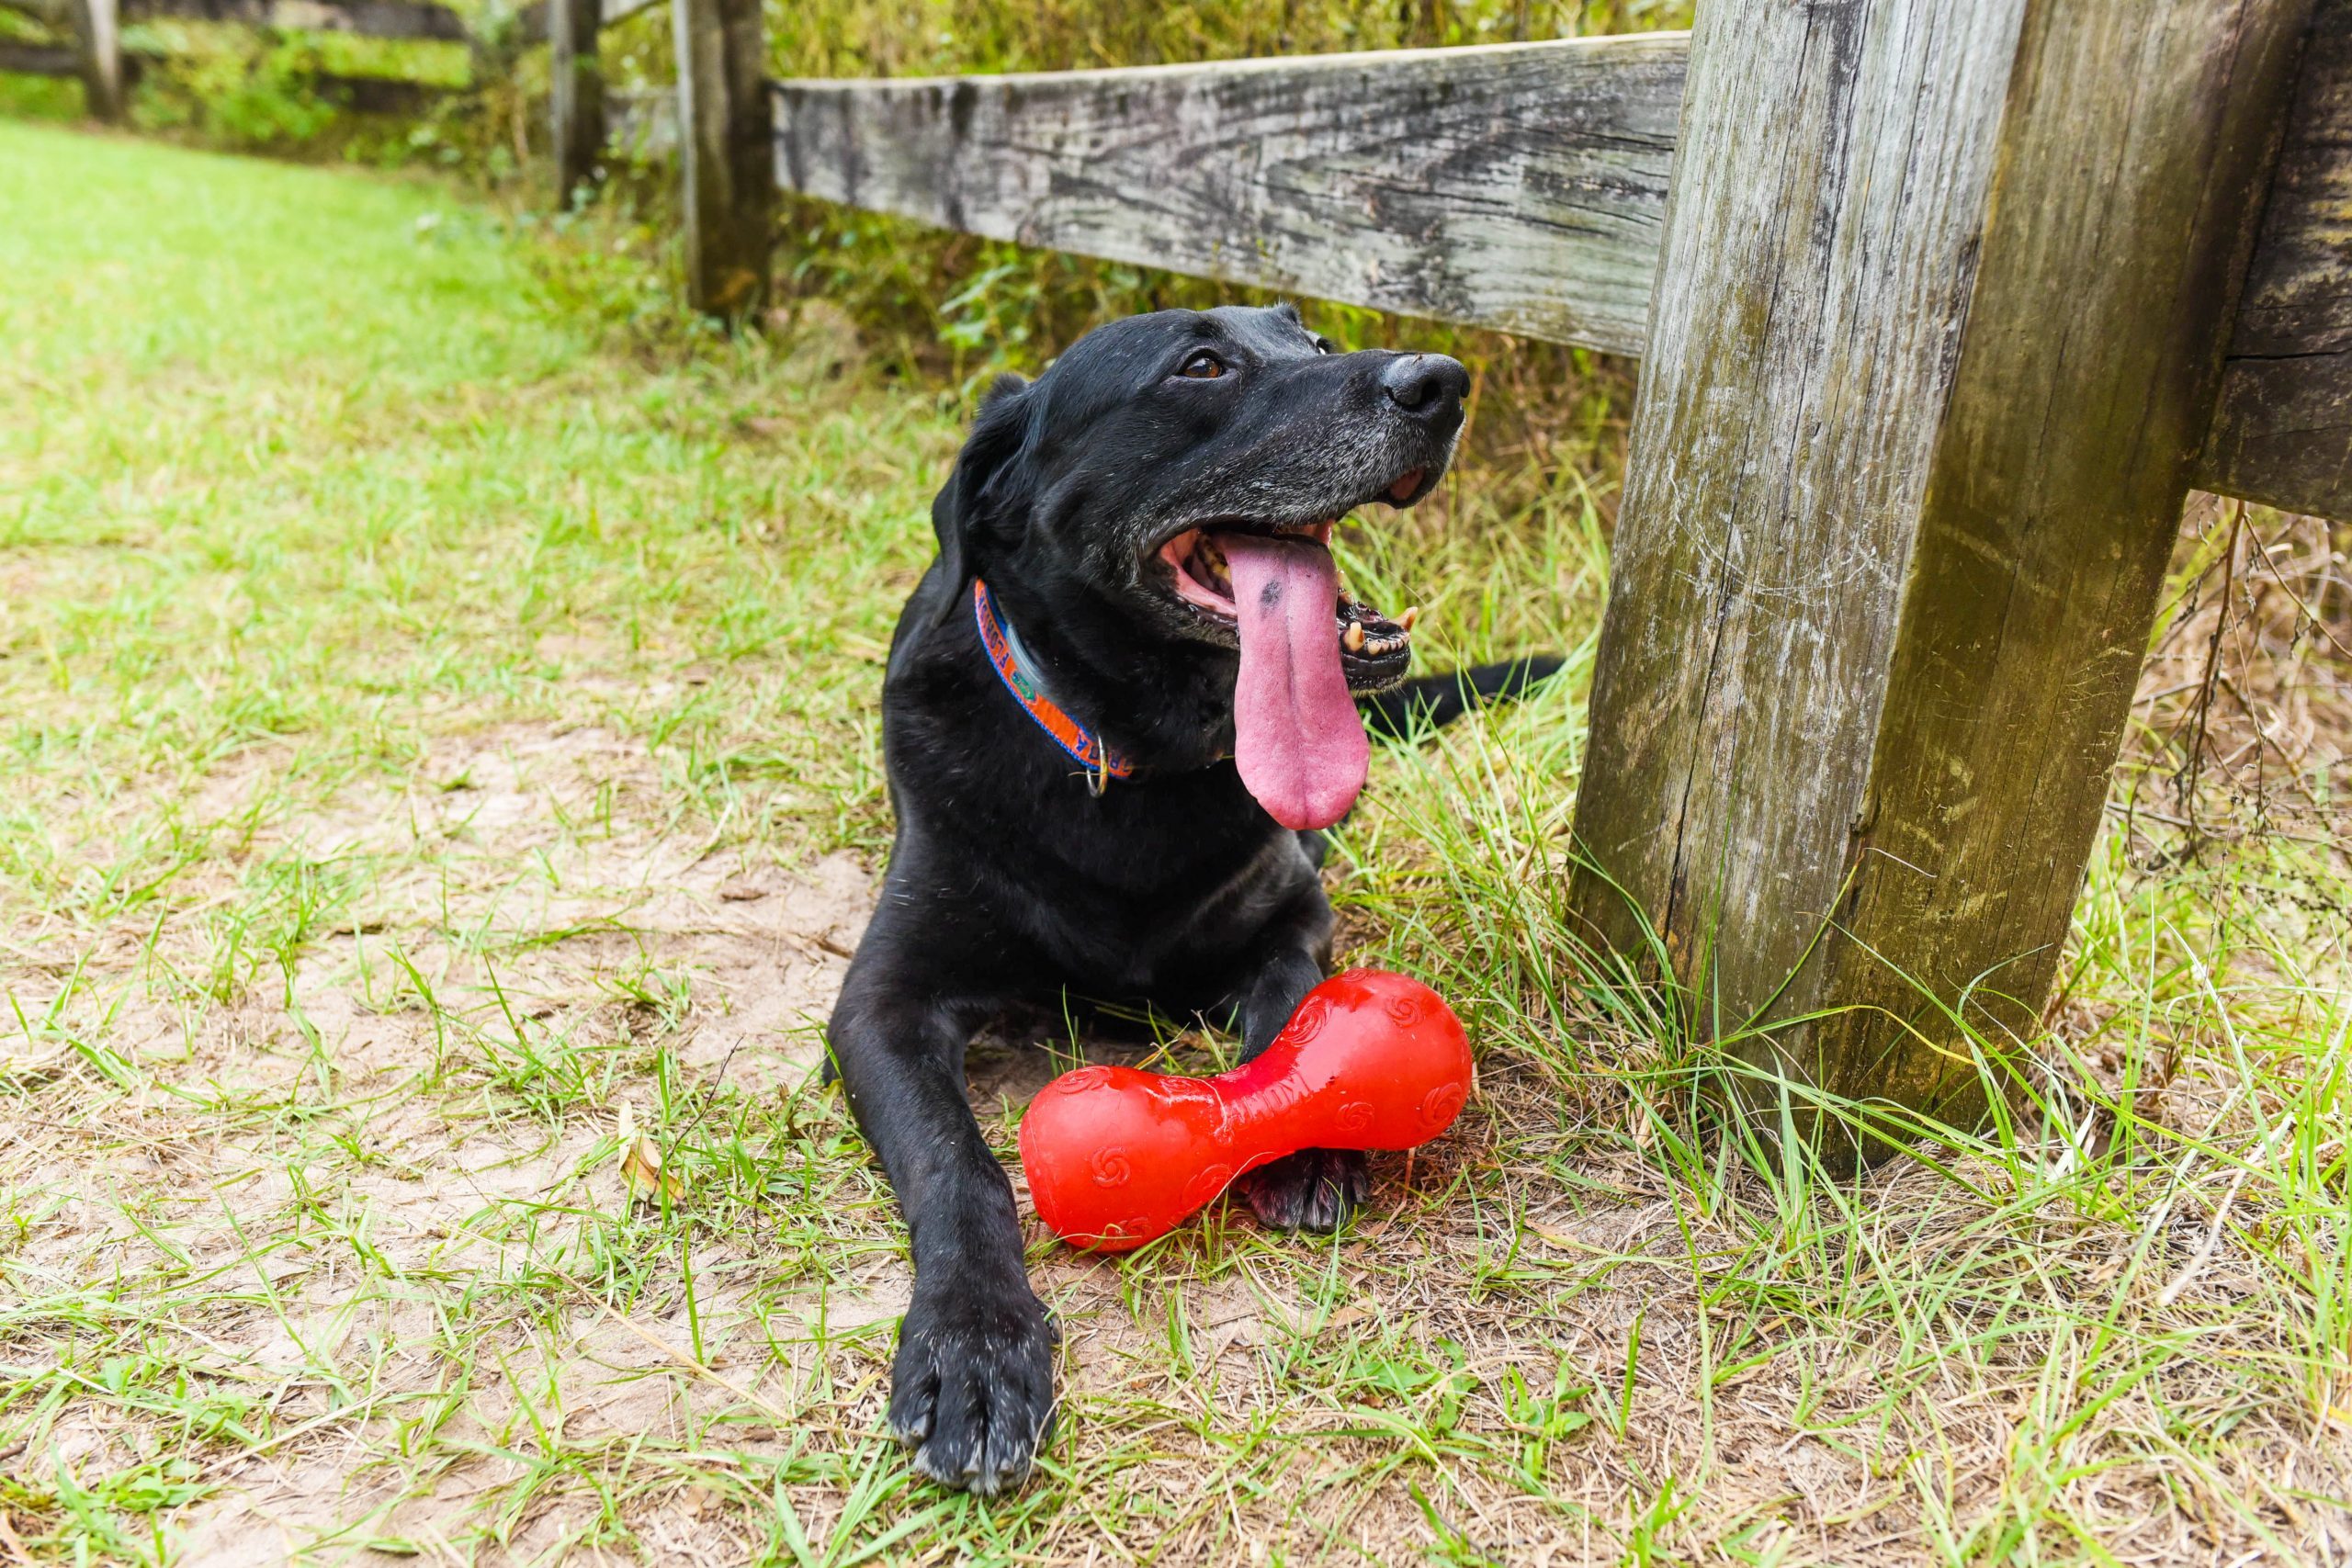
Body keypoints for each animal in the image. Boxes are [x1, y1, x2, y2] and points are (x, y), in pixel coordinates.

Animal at [837, 300, 1552, 1495]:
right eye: (1202, 364)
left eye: (1314, 346)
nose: (1443, 382)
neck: (1129, 760)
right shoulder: (880, 1004)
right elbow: (956, 1162)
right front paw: (975, 1342)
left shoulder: (1291, 914)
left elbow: (1291, 1012)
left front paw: (1301, 1137)